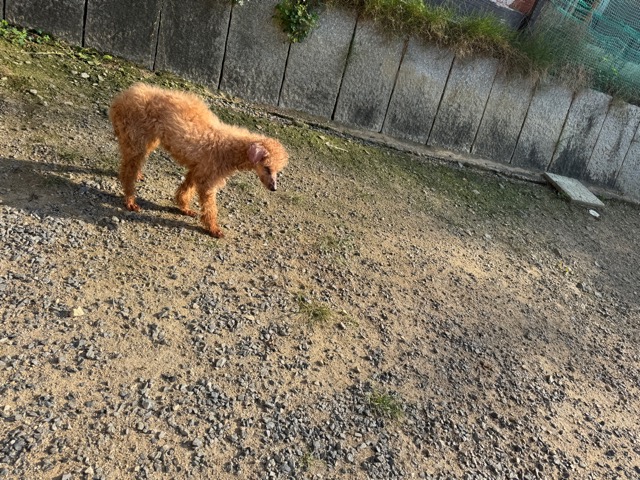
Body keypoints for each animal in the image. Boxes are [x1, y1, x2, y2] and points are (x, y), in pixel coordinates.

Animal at [109, 83, 289, 238]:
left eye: (277, 171)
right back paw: (130, 199)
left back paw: (138, 176)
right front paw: (213, 228)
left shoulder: (197, 170)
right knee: (127, 172)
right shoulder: (207, 179)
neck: (228, 148)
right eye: (267, 168)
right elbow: (209, 207)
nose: (274, 188)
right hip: (136, 138)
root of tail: (122, 97)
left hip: (149, 139)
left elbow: (186, 190)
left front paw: (184, 208)